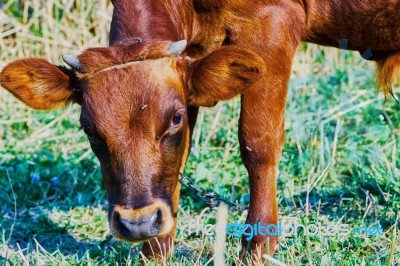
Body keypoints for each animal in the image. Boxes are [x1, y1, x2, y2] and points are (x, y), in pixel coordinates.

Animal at [0, 0, 400, 262]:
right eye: (88, 128)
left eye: (173, 119)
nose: (137, 224)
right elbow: (179, 163)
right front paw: (156, 251)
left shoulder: (271, 26)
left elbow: (257, 141)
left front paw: (257, 247)